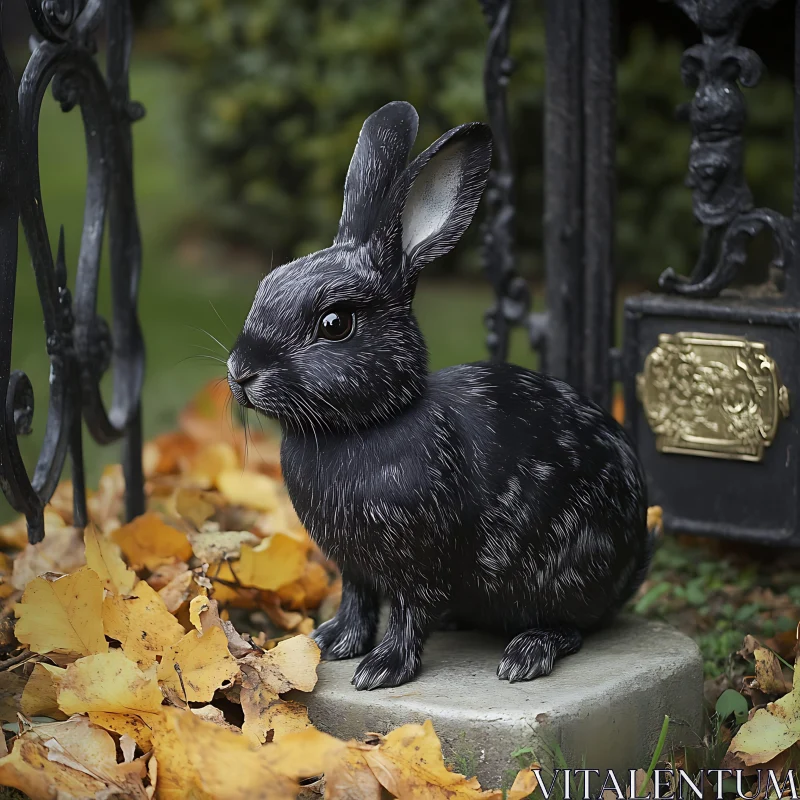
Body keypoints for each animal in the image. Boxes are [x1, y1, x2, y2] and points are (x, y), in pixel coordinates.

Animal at [228, 101, 652, 688]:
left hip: (563, 569)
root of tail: (633, 561)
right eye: (265, 286)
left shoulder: (419, 562)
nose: (240, 372)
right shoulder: (354, 565)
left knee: (571, 626)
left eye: (335, 323)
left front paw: (380, 670)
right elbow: (357, 601)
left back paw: (525, 654)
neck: (369, 422)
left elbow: (408, 611)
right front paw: (331, 644)